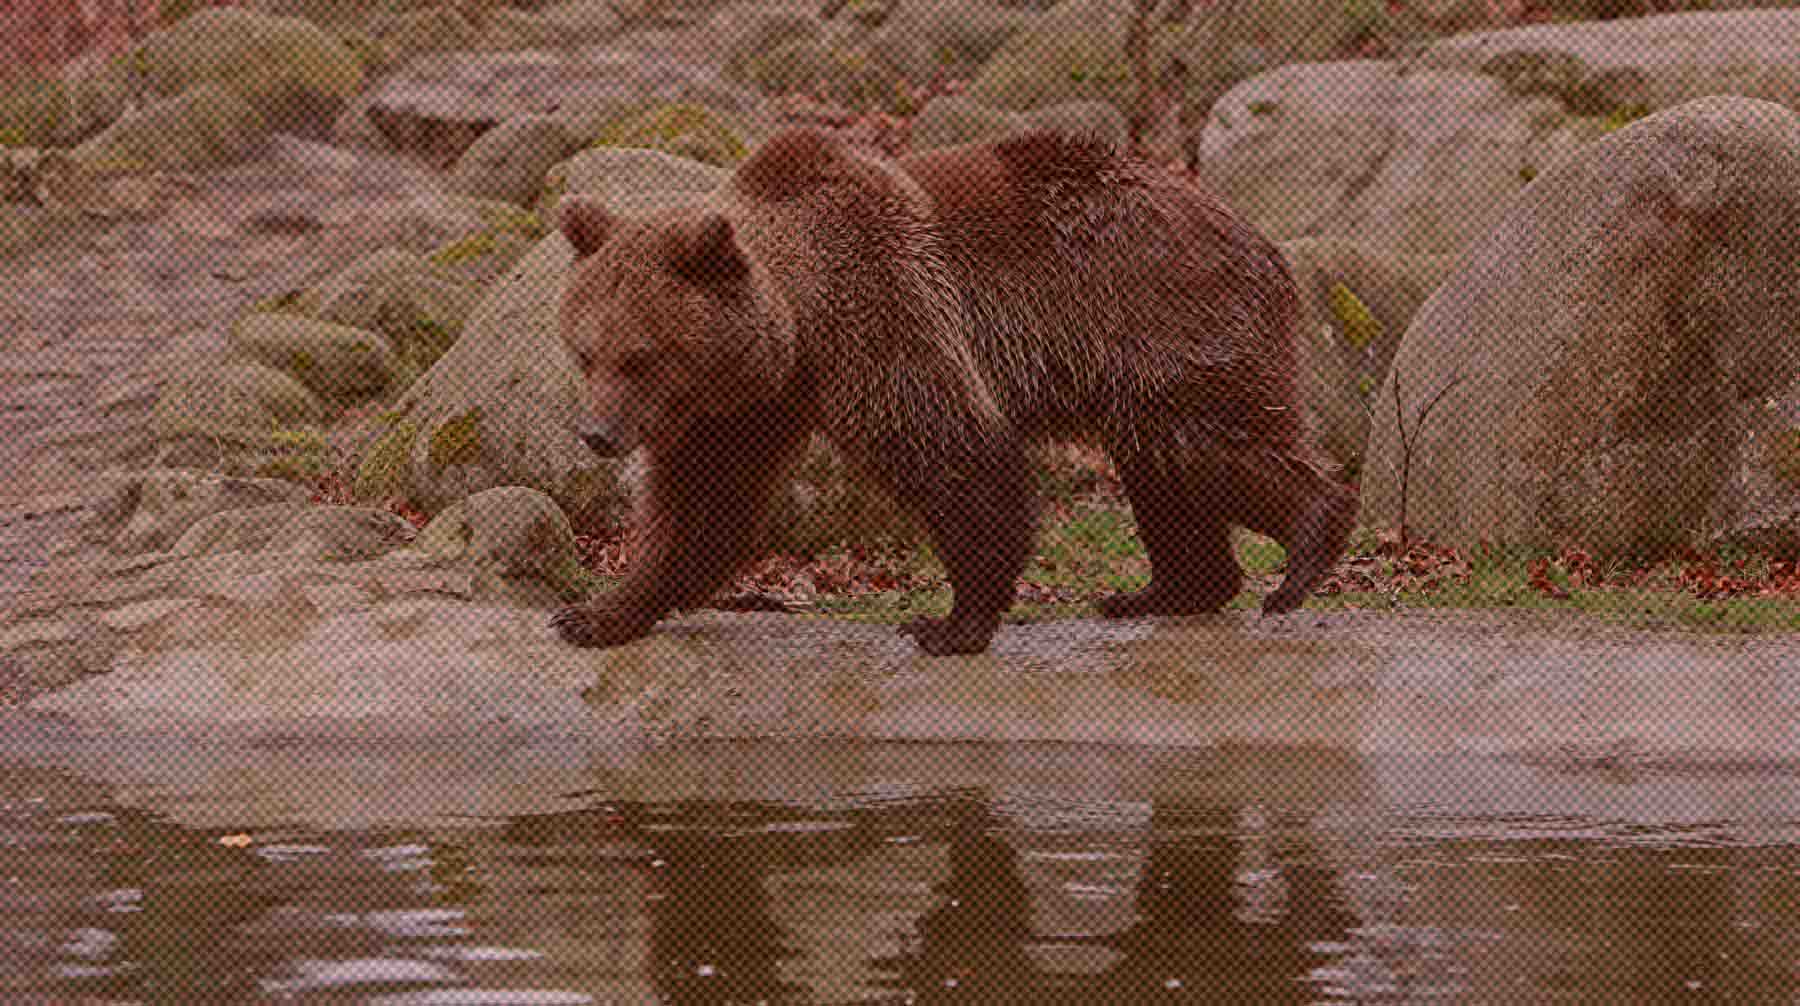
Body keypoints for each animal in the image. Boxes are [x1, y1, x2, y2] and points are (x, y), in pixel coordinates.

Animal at [547, 127, 1353, 662]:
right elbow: (703, 505)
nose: (597, 434)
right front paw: (598, 612)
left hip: (1159, 316)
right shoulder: (745, 408)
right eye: (585, 352)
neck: (798, 329)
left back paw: (1306, 545)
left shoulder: (883, 311)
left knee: (1204, 441)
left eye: (640, 357)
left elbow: (951, 450)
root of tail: (1259, 239)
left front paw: (951, 622)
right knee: (1166, 465)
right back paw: (1166, 589)